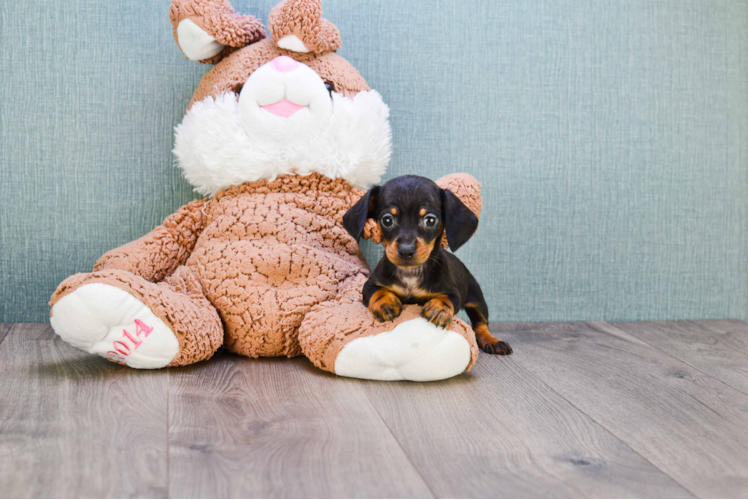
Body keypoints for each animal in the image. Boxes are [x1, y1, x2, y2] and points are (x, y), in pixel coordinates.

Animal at [344, 176, 516, 356]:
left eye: (430, 220)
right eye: (387, 220)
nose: (406, 251)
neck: (411, 273)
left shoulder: (454, 293)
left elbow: (447, 298)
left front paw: (439, 308)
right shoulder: (369, 285)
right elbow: (377, 291)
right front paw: (385, 303)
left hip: (477, 298)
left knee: (481, 324)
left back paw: (492, 341)